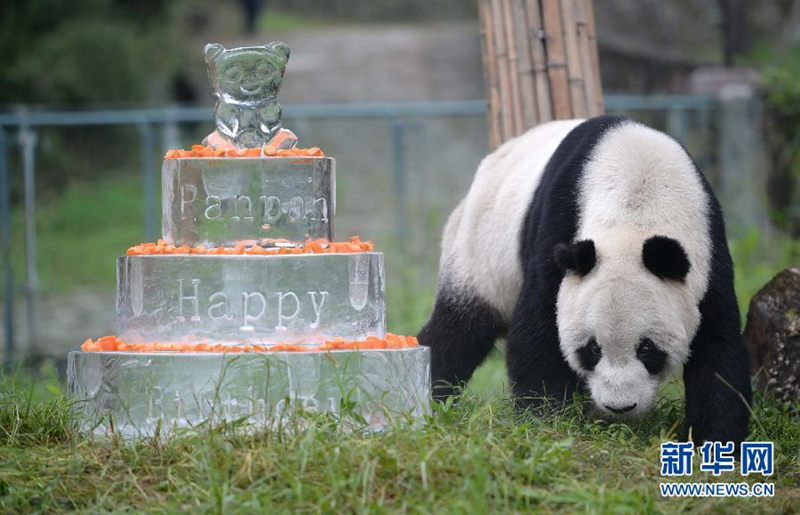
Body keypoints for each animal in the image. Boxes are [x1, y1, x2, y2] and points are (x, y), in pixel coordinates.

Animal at [418, 115, 752, 445]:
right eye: (593, 348)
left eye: (646, 349)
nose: (619, 406)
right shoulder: (559, 227)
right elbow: (539, 327)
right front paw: (547, 422)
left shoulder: (708, 255)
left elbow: (718, 349)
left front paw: (715, 441)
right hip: (480, 251)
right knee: (459, 330)